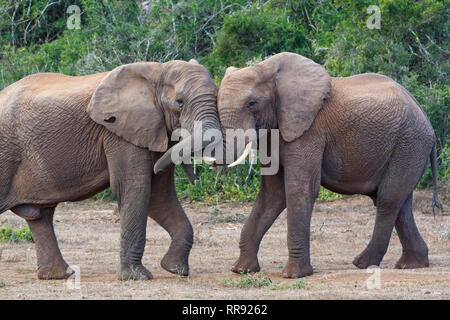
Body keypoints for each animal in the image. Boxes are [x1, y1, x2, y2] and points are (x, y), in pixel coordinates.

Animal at [0, 59, 221, 280]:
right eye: (179, 102)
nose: (195, 179)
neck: (157, 71)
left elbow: (160, 195)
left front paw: (174, 269)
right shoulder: (117, 133)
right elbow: (135, 188)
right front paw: (136, 277)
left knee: (40, 216)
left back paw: (59, 276)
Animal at [218, 52, 442, 278]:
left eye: (252, 103)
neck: (267, 68)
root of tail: (428, 122)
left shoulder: (310, 131)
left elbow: (299, 189)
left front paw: (294, 275)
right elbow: (273, 194)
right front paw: (242, 270)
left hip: (409, 143)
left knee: (388, 199)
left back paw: (363, 263)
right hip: (408, 148)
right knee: (400, 203)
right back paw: (411, 264)